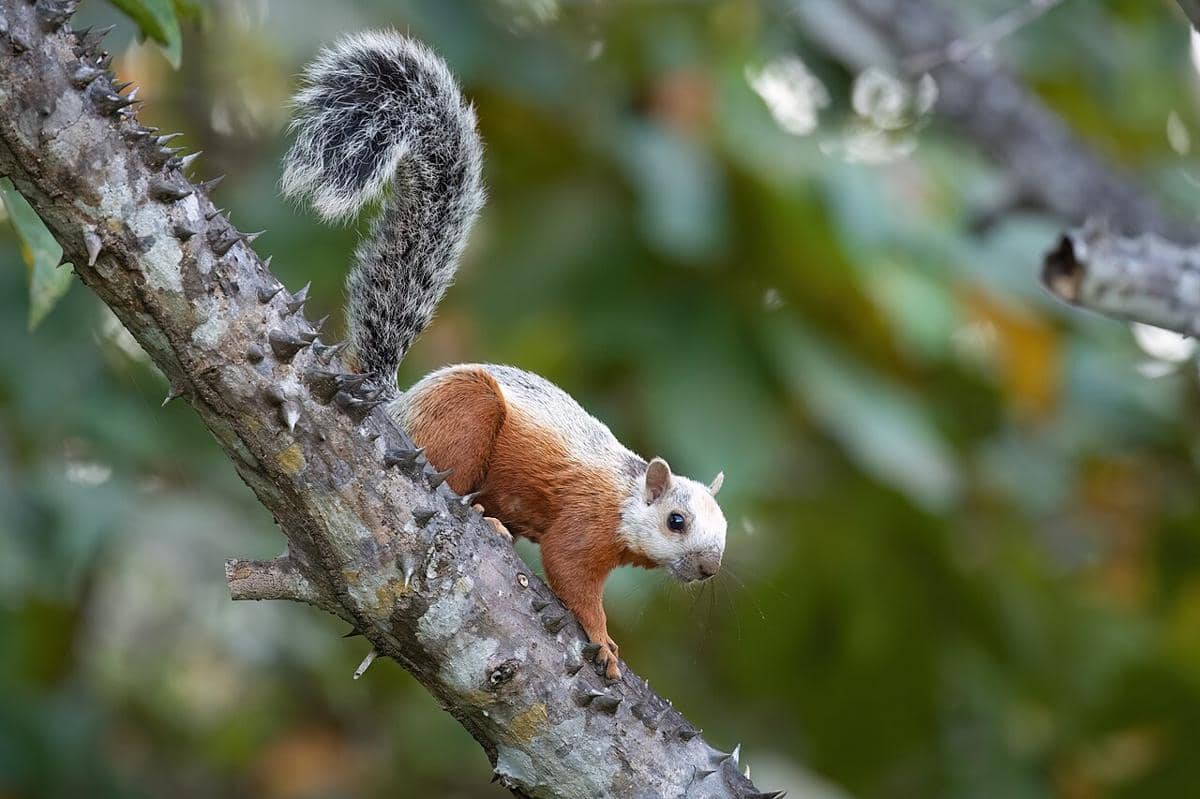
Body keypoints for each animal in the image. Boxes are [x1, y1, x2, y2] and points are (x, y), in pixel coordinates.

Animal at [281, 31, 727, 680]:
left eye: (724, 530)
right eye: (677, 521)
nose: (709, 567)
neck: (625, 496)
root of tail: (397, 406)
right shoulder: (585, 522)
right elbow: (570, 574)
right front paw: (604, 642)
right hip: (465, 416)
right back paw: (484, 518)